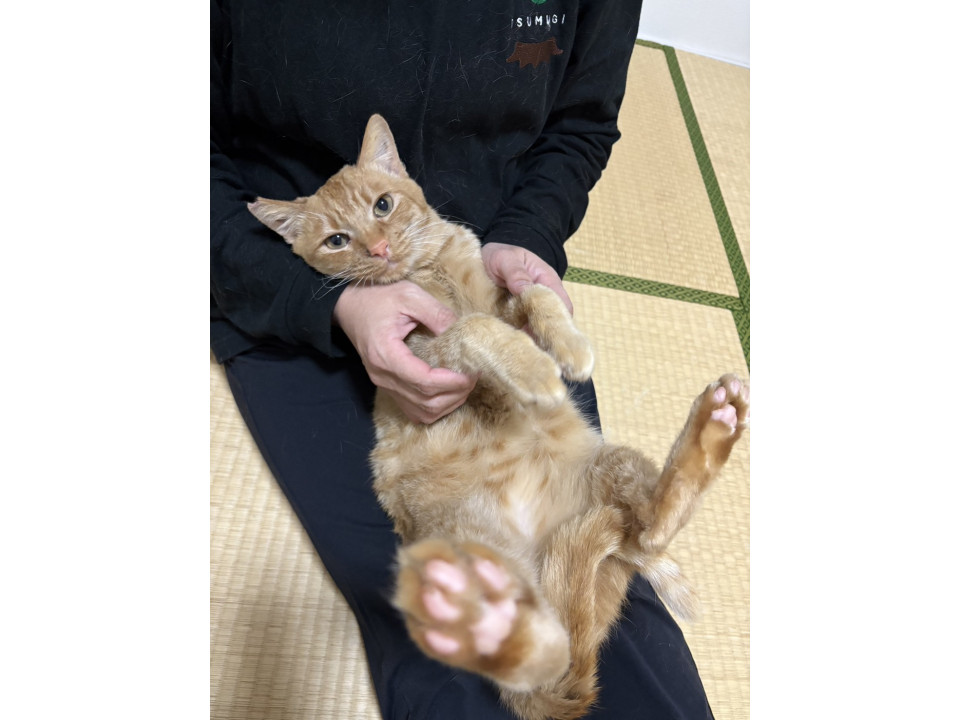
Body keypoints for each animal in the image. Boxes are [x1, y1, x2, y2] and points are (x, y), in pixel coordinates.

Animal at [248, 114, 749, 720]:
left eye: (383, 206)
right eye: (337, 241)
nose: (380, 247)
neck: (431, 269)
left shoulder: (505, 303)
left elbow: (533, 293)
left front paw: (569, 347)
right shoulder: (427, 344)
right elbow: (476, 330)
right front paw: (534, 372)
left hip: (614, 466)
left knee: (652, 527)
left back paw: (716, 421)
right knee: (527, 652)